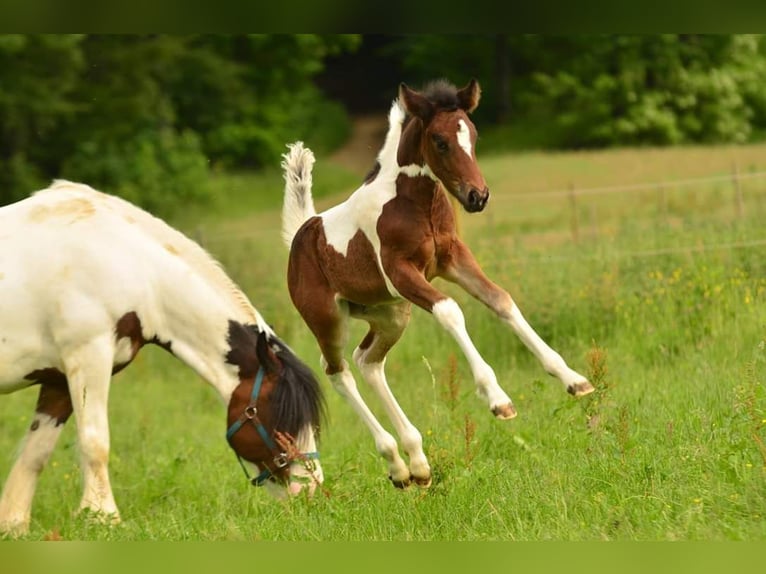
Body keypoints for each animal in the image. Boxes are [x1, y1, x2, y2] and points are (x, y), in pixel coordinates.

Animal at [0, 180, 324, 537]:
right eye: (280, 419)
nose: (310, 489)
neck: (122, 260)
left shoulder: (58, 379)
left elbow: (36, 453)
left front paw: (13, 525)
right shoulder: (88, 357)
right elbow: (95, 442)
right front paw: (103, 517)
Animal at [280, 78, 594, 488]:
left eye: (473, 135)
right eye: (440, 141)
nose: (477, 196)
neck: (415, 203)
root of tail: (302, 233)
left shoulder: (452, 258)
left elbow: (501, 300)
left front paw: (574, 379)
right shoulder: (402, 273)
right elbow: (450, 312)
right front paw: (498, 399)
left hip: (390, 315)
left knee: (368, 361)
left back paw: (414, 464)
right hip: (328, 320)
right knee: (338, 372)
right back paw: (395, 461)